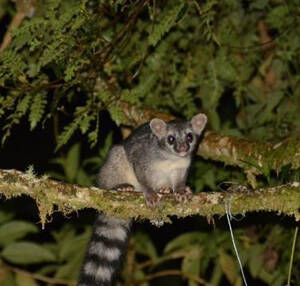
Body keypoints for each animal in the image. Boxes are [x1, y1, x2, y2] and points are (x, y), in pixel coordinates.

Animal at [78, 113, 207, 284]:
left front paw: (180, 189)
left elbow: (180, 178)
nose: (182, 149)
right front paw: (150, 191)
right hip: (110, 169)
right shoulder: (143, 154)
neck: (172, 158)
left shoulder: (182, 165)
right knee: (117, 155)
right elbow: (140, 170)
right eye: (171, 139)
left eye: (189, 137)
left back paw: (165, 189)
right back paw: (118, 186)